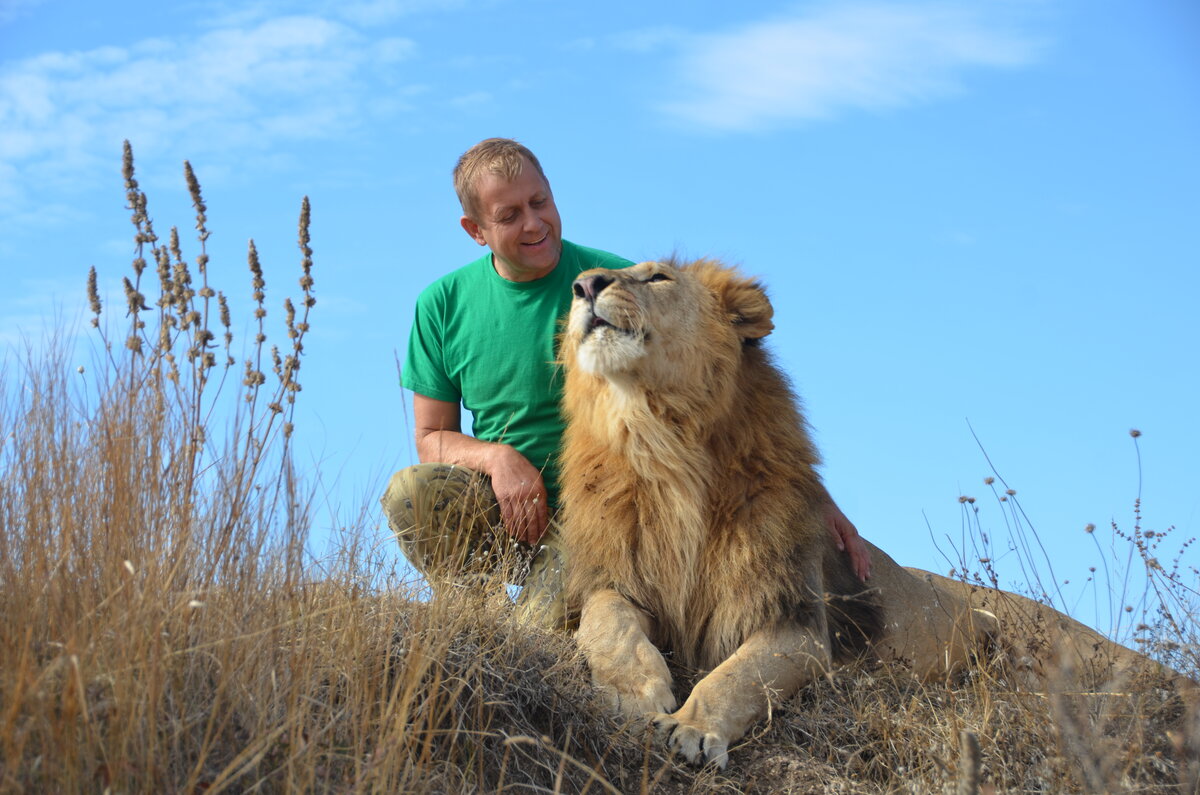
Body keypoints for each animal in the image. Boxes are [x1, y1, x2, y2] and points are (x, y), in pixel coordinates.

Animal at [556, 258, 1185, 768]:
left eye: (658, 276)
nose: (584, 285)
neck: (665, 445)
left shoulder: (797, 621)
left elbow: (733, 678)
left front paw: (690, 727)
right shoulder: (618, 579)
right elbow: (606, 624)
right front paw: (635, 695)